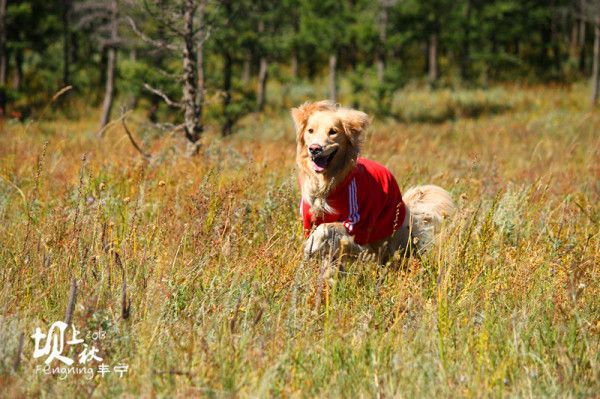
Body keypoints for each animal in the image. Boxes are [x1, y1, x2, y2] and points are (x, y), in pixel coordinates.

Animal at [292, 100, 454, 264]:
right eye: (310, 130)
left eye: (333, 131)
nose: (315, 149)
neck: (327, 185)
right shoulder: (309, 221)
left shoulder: (357, 225)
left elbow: (325, 228)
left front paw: (311, 245)